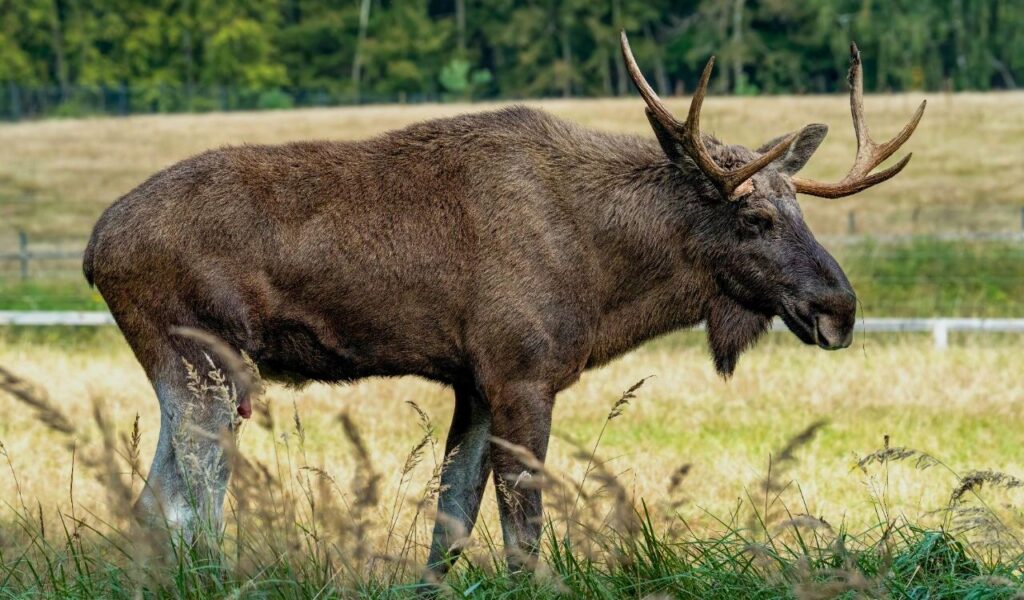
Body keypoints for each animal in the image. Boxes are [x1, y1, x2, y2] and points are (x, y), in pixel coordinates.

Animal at [82, 32, 924, 577]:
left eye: (802, 210)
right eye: (754, 219)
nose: (840, 307)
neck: (606, 284)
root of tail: (94, 252)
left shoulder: (472, 380)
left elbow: (448, 531)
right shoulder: (522, 372)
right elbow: (524, 537)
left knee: (151, 506)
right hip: (203, 359)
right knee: (193, 509)